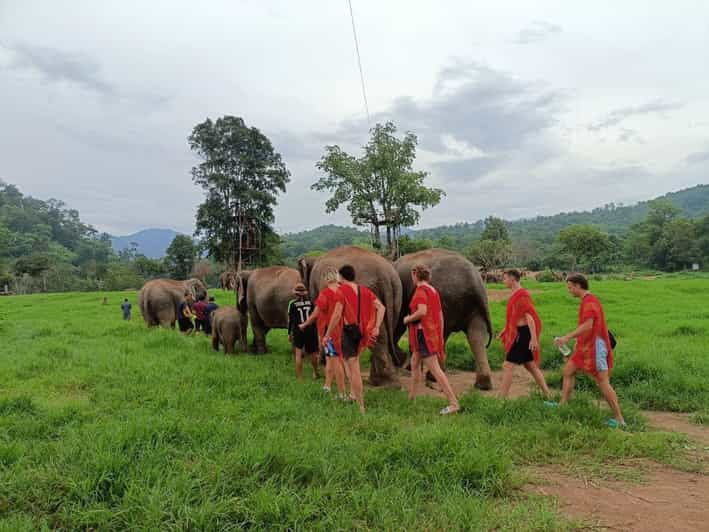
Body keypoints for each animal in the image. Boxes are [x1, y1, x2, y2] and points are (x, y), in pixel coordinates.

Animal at [394, 248, 494, 390]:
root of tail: (473, 281)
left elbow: (400, 322)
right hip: (475, 306)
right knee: (476, 335)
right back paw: (483, 384)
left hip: (445, 300)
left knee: (443, 333)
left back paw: (433, 376)